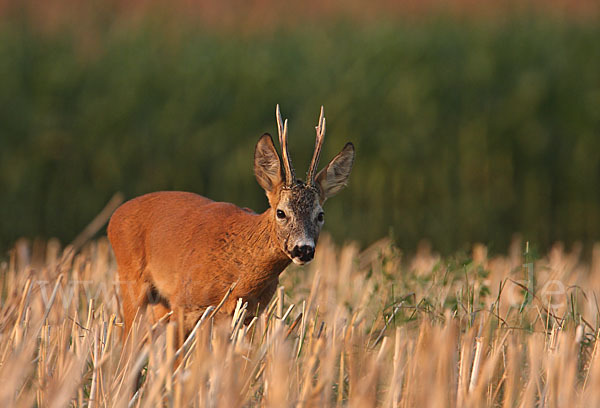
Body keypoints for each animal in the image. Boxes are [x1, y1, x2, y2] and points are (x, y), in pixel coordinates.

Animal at [107, 106, 354, 338]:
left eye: (320, 215)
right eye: (281, 212)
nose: (303, 249)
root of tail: (115, 216)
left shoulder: (245, 316)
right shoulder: (184, 304)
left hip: (159, 305)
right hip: (132, 282)